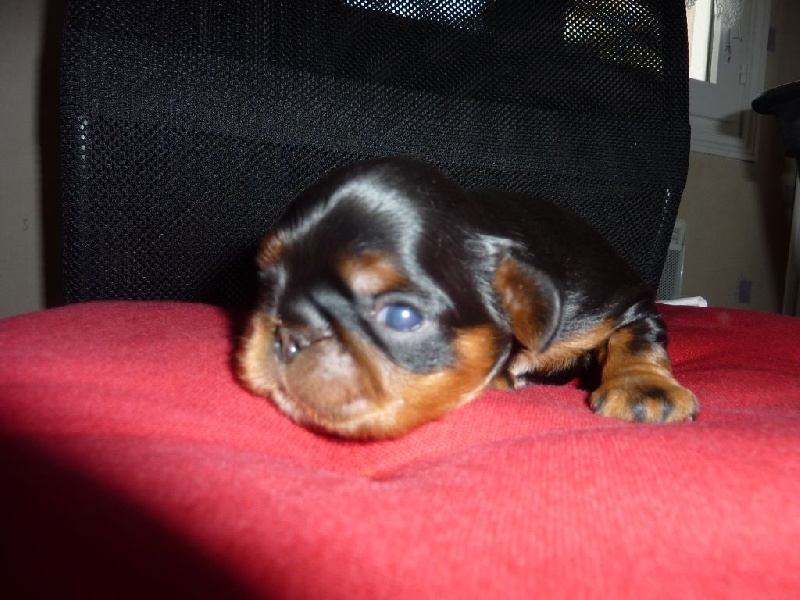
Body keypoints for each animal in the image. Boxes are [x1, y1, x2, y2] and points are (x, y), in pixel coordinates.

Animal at [237, 157, 698, 439]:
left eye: (401, 316)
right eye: (267, 283)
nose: (287, 336)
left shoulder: (619, 304)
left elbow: (635, 338)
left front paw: (645, 389)